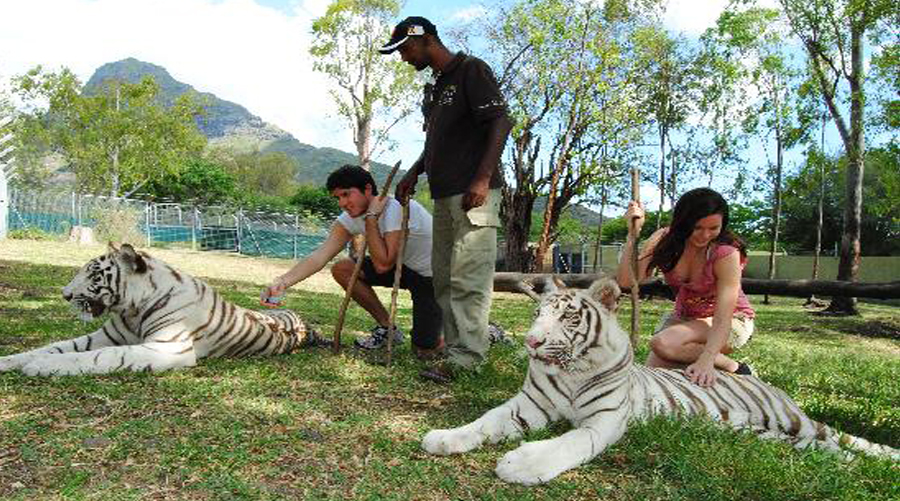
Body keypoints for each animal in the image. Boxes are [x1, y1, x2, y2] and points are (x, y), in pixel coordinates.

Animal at [0, 243, 320, 376]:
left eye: (94, 275)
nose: (64, 295)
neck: (131, 309)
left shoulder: (170, 347)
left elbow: (103, 356)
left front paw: (41, 366)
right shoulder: (105, 336)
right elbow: (55, 346)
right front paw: (12, 360)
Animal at [421, 278, 898, 485]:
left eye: (568, 316)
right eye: (538, 313)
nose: (532, 341)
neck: (572, 370)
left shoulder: (604, 421)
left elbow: (570, 442)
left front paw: (522, 464)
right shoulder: (528, 405)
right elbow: (485, 421)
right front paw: (444, 438)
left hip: (793, 420)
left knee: (842, 437)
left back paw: (883, 458)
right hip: (773, 437)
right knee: (832, 450)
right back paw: (849, 466)